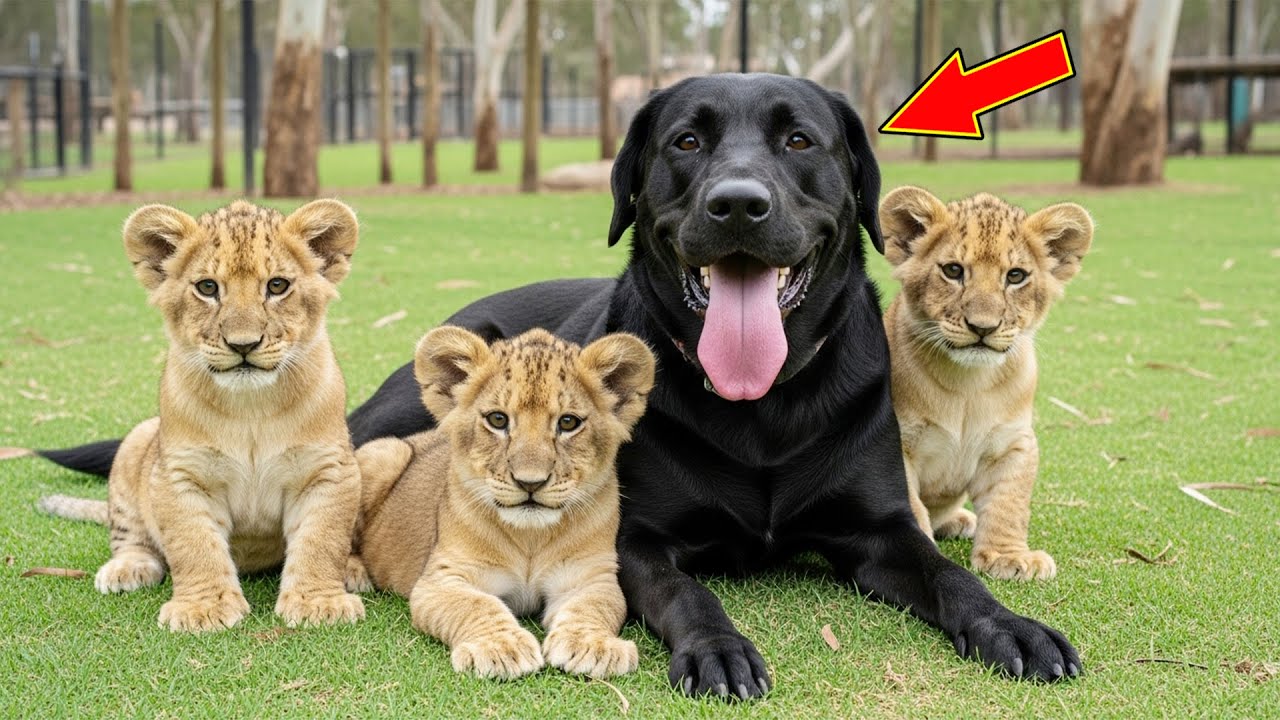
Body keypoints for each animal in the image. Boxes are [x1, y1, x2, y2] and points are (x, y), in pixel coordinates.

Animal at [38, 199, 366, 630]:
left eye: (277, 286)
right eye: (207, 287)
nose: (243, 344)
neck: (251, 409)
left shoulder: (327, 471)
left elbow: (321, 541)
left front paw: (319, 603)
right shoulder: (181, 475)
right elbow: (194, 545)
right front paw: (204, 609)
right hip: (136, 444)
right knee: (131, 537)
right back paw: (126, 569)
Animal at [350, 326, 655, 680]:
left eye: (568, 423)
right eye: (497, 420)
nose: (530, 482)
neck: (530, 537)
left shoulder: (591, 577)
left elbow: (592, 607)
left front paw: (593, 645)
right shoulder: (441, 580)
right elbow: (476, 605)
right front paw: (500, 649)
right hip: (385, 453)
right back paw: (354, 573)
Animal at [879, 187, 1094, 581]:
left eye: (1016, 276)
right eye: (953, 271)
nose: (983, 326)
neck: (968, 386)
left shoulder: (1012, 443)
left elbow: (1008, 502)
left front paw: (1009, 558)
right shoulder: (895, 443)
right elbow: (910, 504)